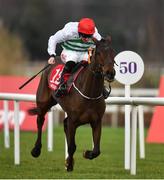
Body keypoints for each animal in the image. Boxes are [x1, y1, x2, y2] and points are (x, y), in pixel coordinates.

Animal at [29, 35, 116, 171]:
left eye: (113, 53)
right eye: (99, 53)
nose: (110, 73)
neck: (89, 93)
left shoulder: (96, 121)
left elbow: (96, 150)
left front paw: (86, 153)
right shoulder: (73, 121)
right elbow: (71, 146)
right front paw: (69, 164)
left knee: (64, 123)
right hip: (43, 102)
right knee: (40, 120)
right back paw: (36, 150)